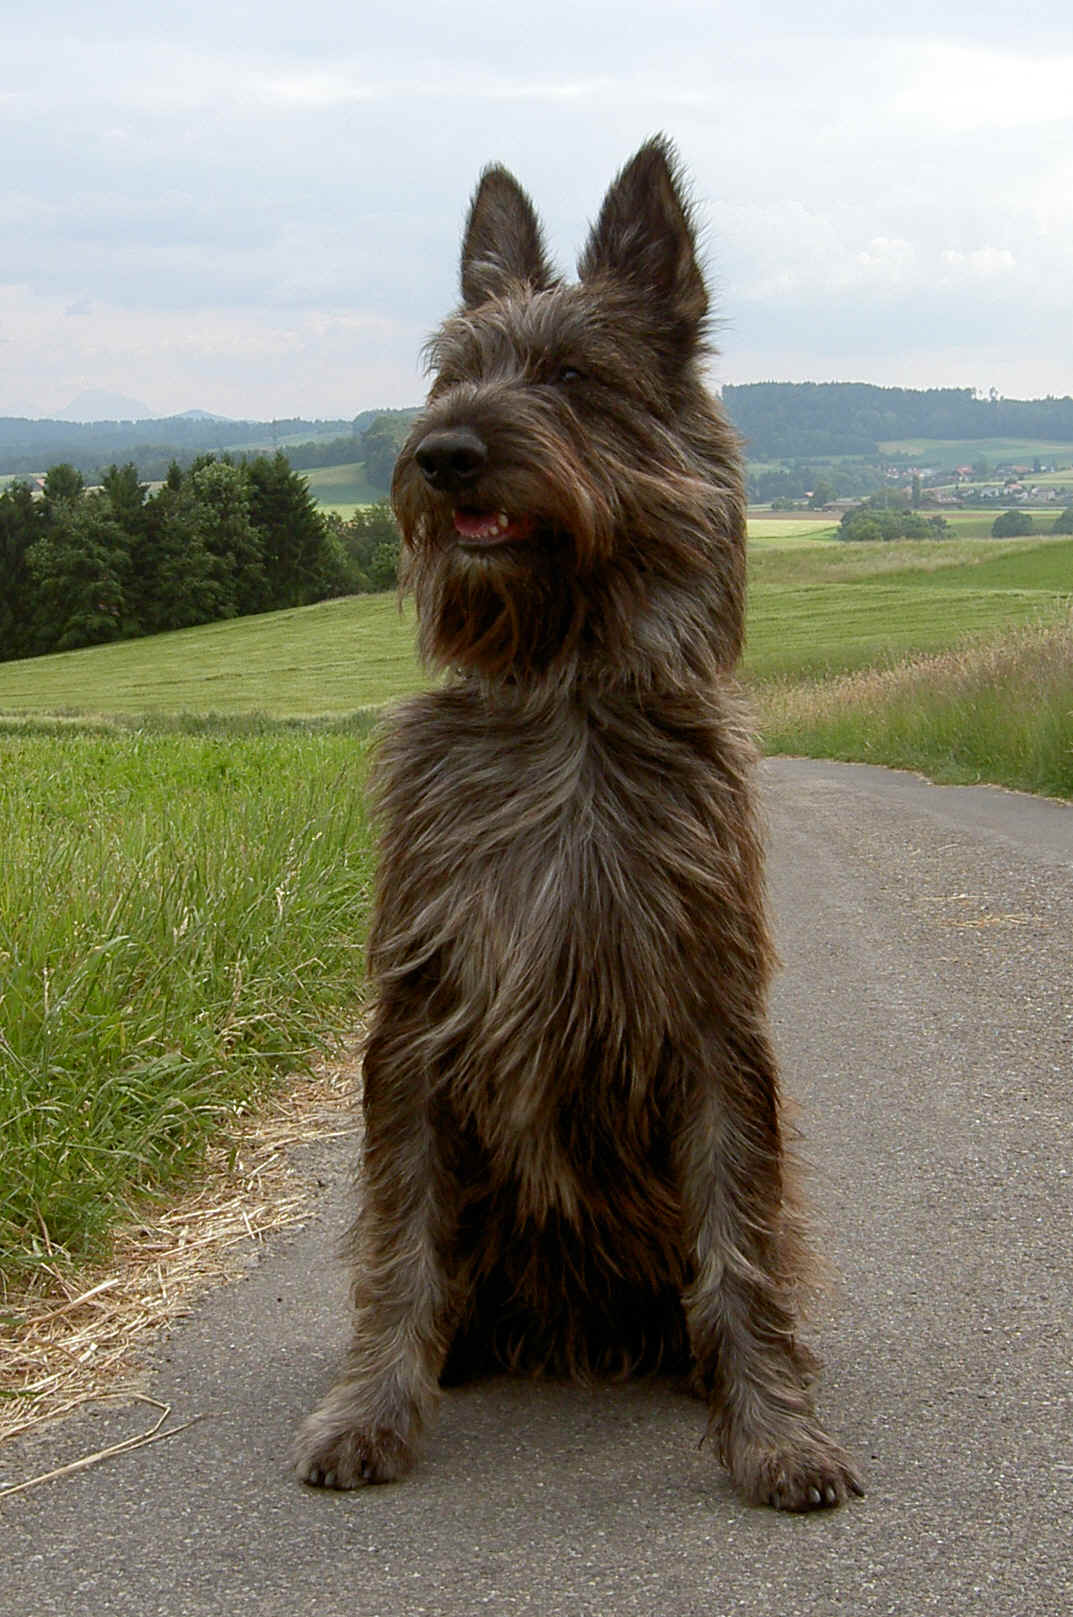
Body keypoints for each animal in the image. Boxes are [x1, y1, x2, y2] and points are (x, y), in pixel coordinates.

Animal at [295, 132, 866, 1507]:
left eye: (567, 374)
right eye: (452, 373)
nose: (443, 453)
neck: (560, 698)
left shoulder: (711, 1015)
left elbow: (738, 1246)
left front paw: (773, 1427)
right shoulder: (415, 1017)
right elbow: (397, 1245)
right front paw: (368, 1407)